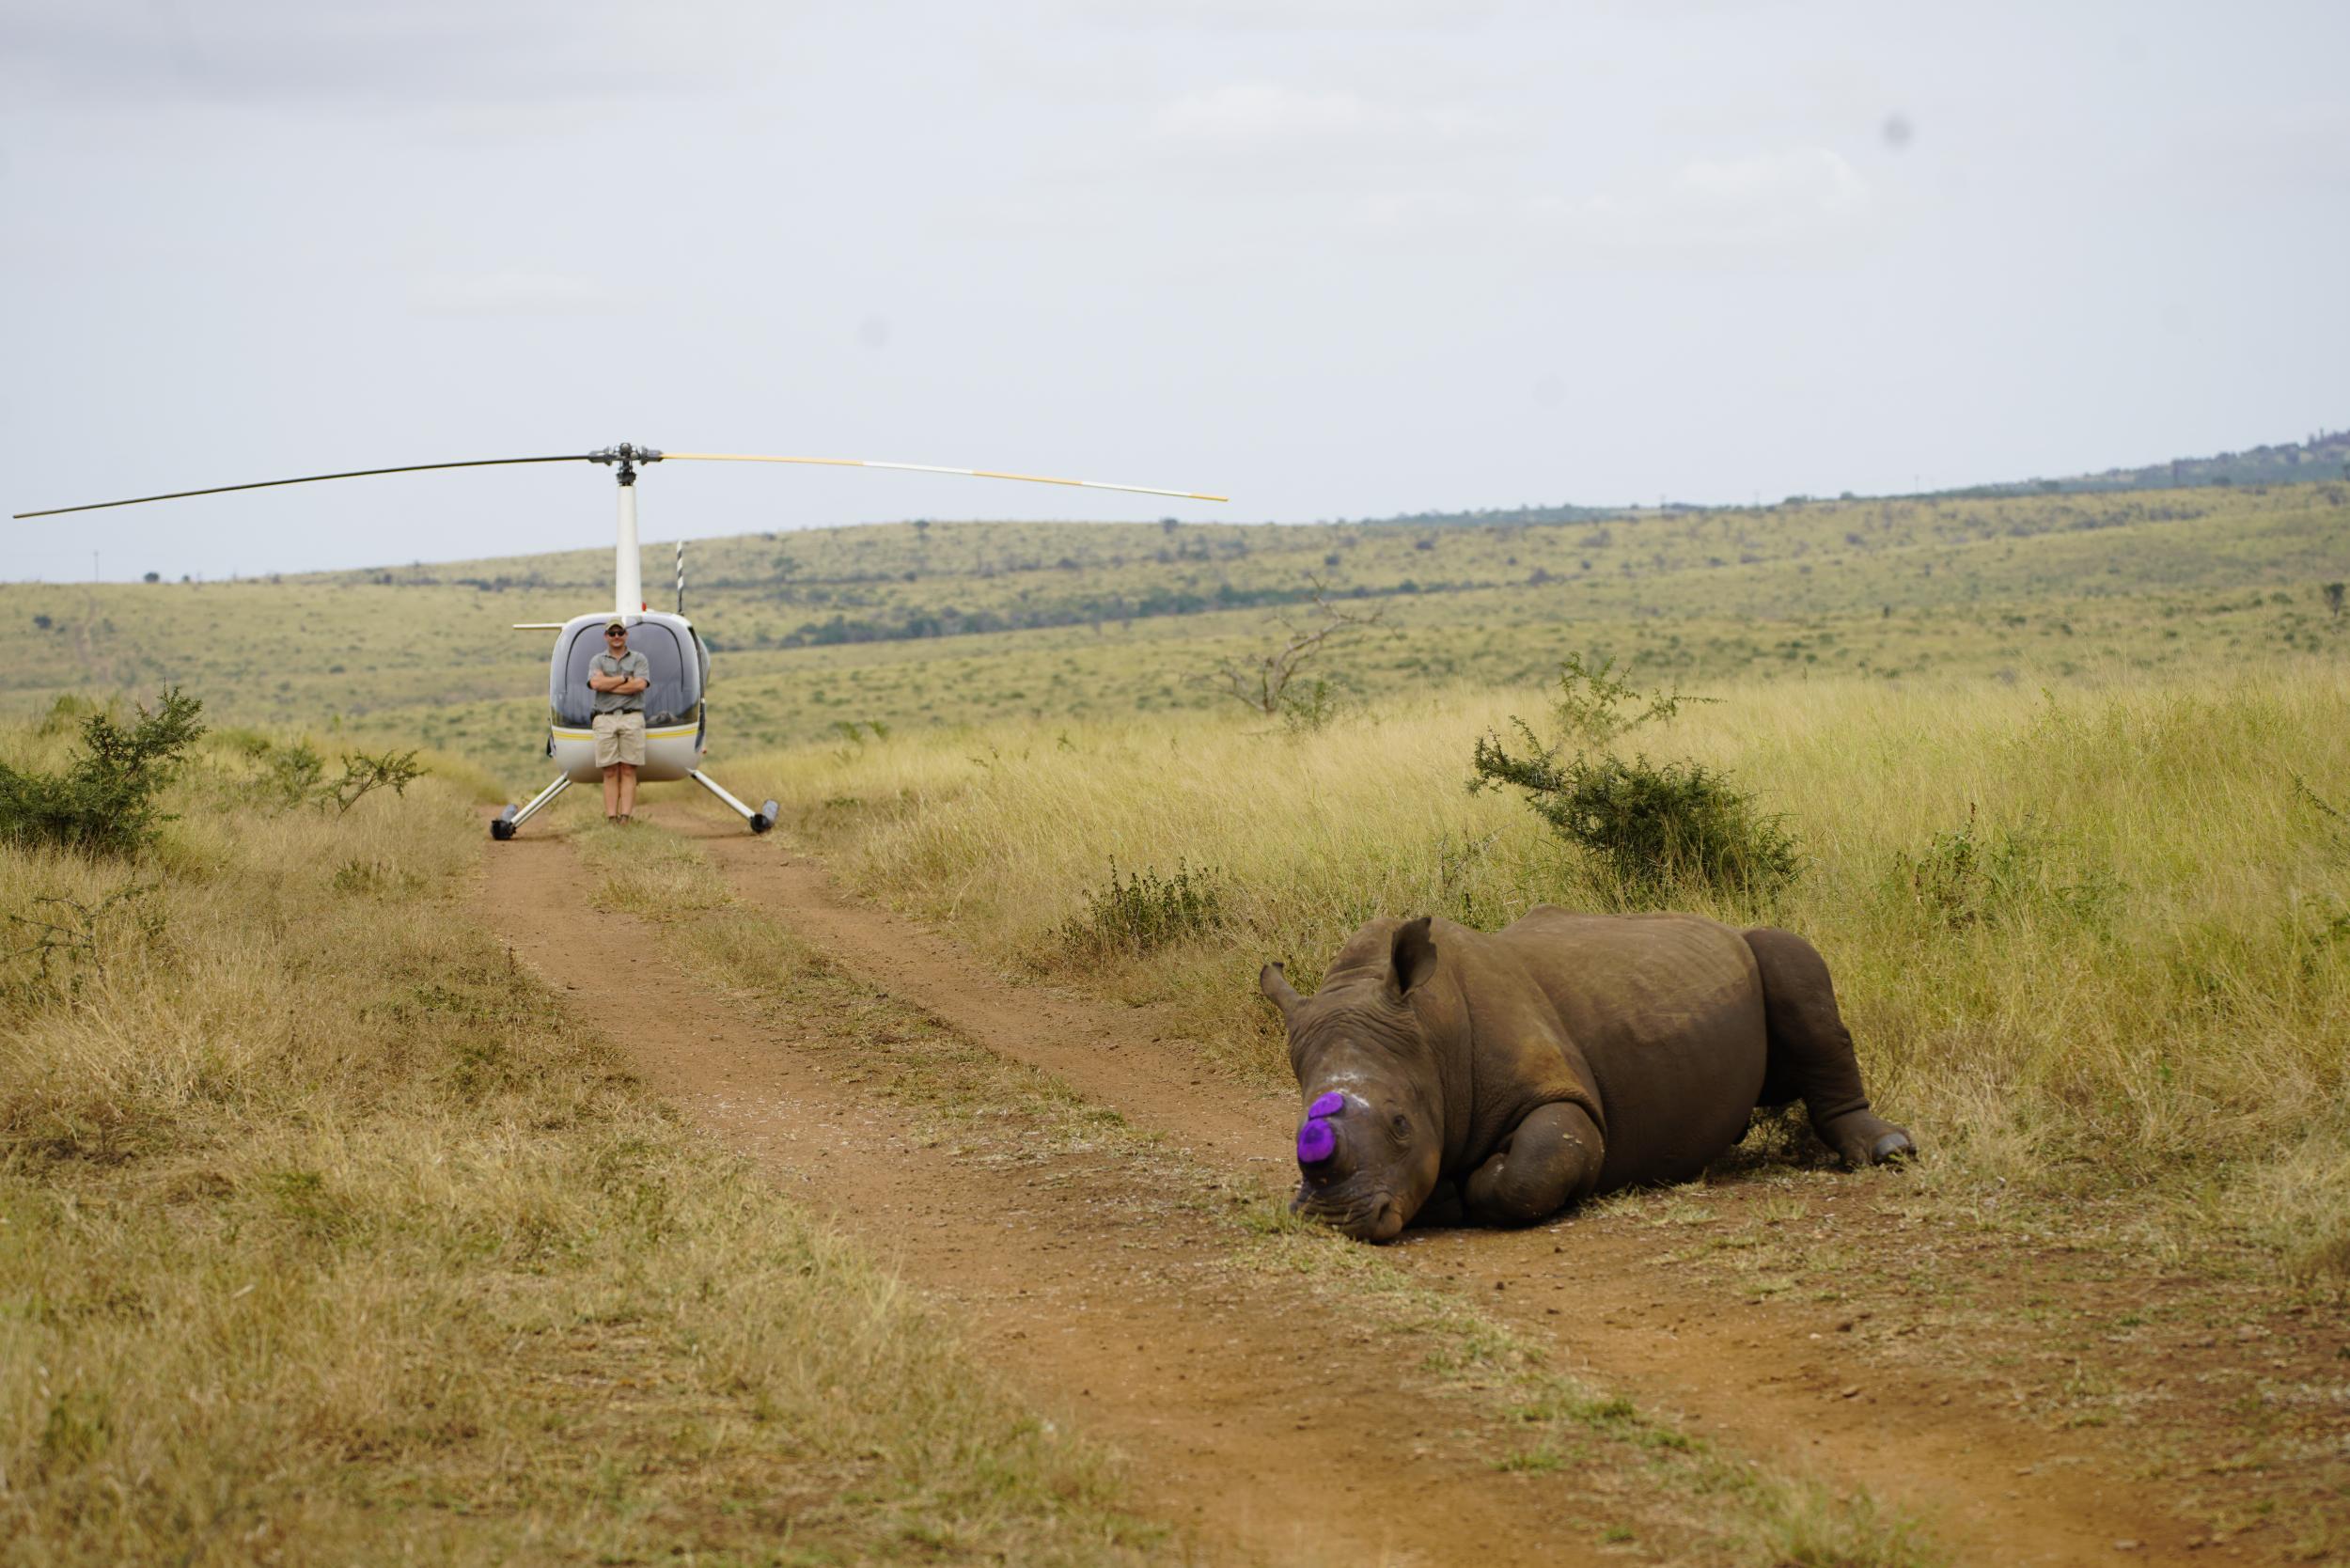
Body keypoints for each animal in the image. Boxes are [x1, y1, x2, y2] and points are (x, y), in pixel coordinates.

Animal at [1260, 912, 1918, 1241]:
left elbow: (1529, 1169)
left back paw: (1888, 1151)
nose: (1333, 1222)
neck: (1429, 1029)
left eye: (1401, 1124)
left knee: (1790, 957)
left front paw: (1467, 1189)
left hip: (1754, 948)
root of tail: (1717, 923)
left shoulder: (1561, 1096)